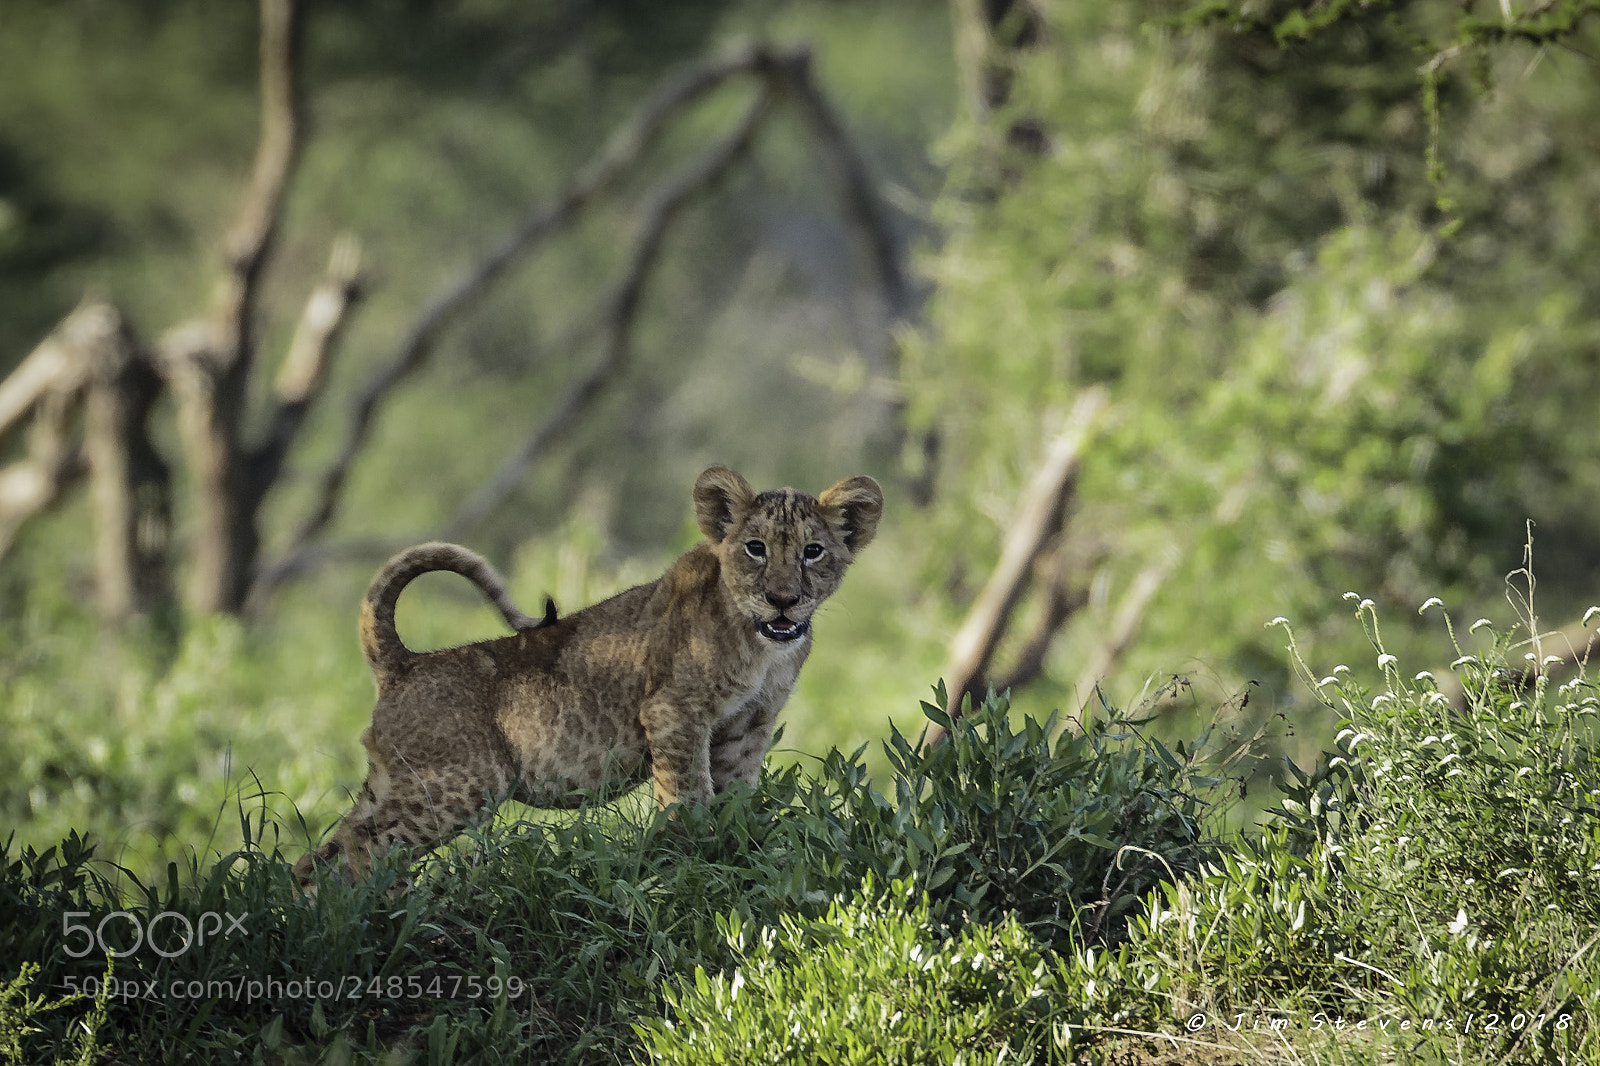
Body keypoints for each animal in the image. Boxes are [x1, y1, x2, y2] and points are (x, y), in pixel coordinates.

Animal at [294, 465, 882, 886]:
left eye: (813, 552)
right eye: (755, 549)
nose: (783, 601)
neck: (763, 647)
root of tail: (403, 662)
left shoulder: (748, 727)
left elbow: (737, 798)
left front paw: (735, 850)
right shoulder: (674, 713)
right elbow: (689, 795)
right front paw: (692, 858)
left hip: (394, 782)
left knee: (320, 857)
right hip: (461, 782)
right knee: (360, 850)